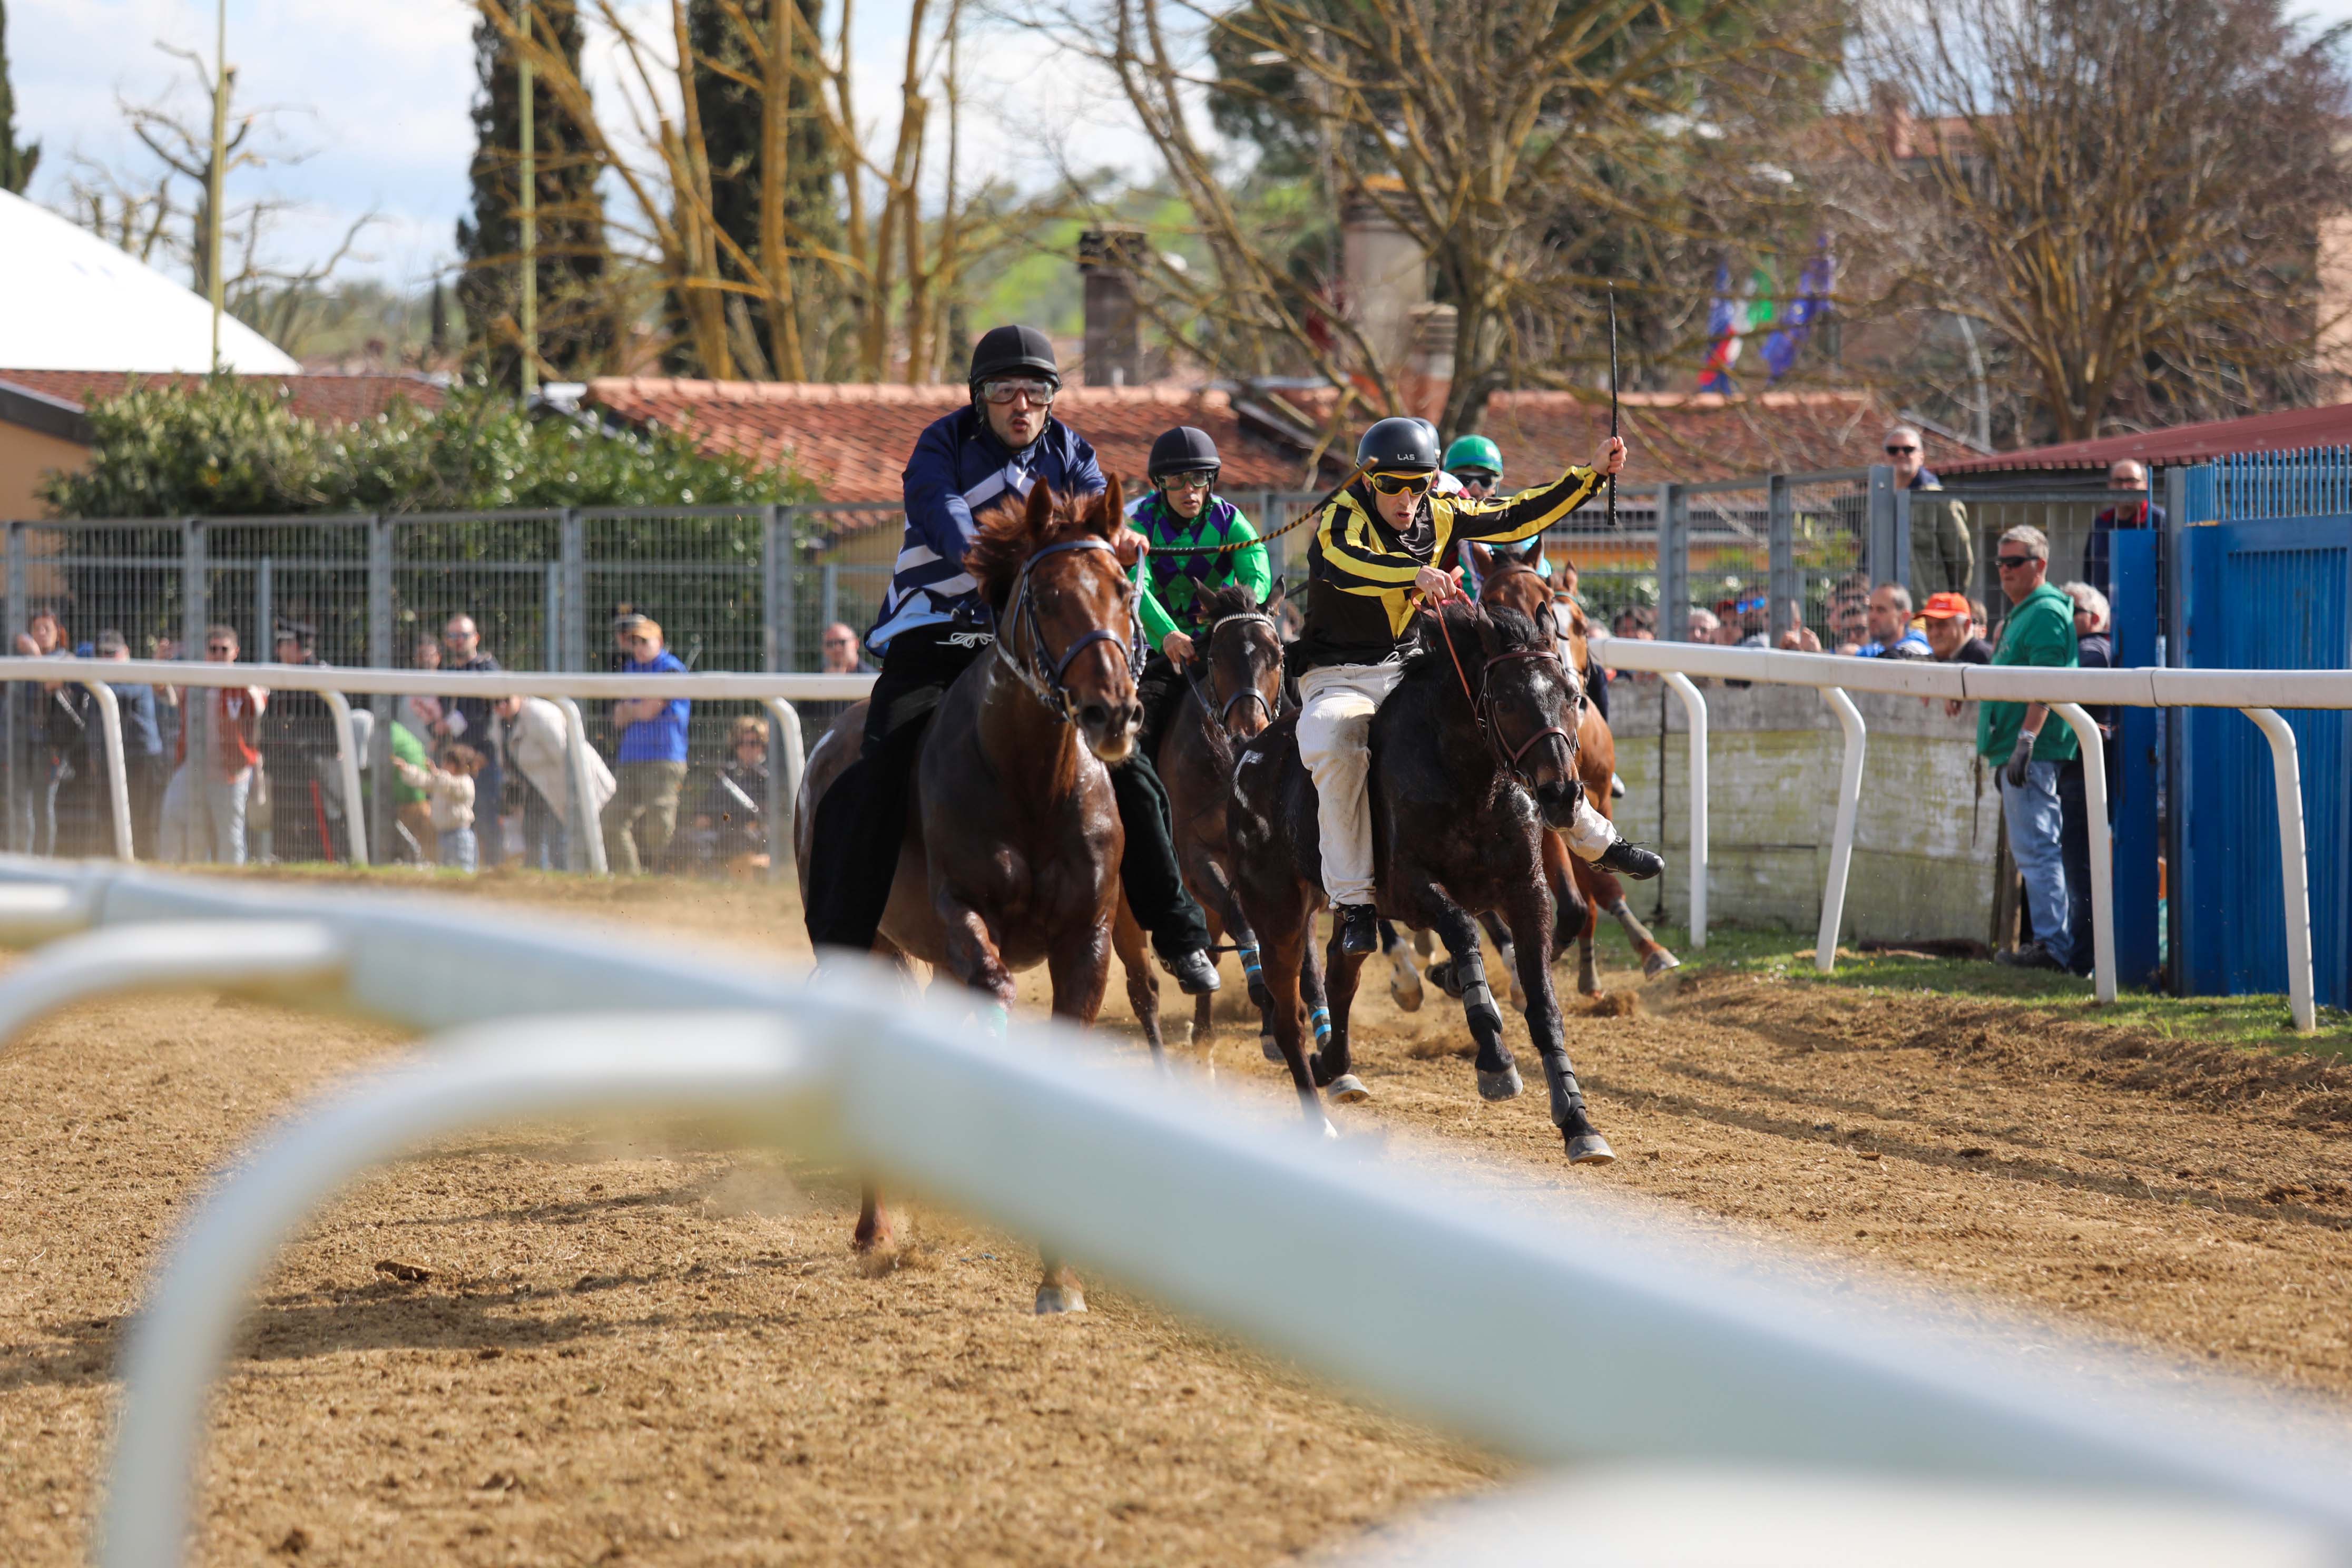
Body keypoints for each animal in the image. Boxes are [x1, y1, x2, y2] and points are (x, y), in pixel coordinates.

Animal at [795, 479, 1152, 1316]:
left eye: (1124, 590)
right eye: (1047, 598)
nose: (1112, 712)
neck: (1032, 781)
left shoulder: (1087, 939)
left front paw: (1060, 1276)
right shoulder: (963, 917)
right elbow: (992, 991)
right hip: (873, 947)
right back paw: (874, 1227)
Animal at [1232, 602, 1618, 1166]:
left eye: (1571, 696)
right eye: (1505, 700)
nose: (1563, 795)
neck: (1469, 780)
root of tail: (1248, 757)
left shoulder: (1525, 889)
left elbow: (1544, 1003)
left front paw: (1578, 1122)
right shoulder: (1408, 889)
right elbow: (1461, 929)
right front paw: (1494, 1058)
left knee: (1344, 968)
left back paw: (1335, 1063)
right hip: (1278, 913)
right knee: (1288, 1017)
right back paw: (1318, 1117)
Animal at [1458, 541, 1684, 992]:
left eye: (1579, 625)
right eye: (1493, 603)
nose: (1570, 692)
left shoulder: (1590, 793)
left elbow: (1599, 879)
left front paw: (1646, 949)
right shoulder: (1536, 806)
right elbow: (1572, 899)